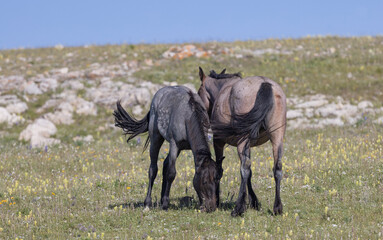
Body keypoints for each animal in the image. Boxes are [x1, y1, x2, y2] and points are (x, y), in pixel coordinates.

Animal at [200, 67, 286, 218]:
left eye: (199, 91)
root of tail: (265, 84)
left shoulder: (218, 142)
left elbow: (219, 169)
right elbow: (250, 172)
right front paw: (253, 201)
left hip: (242, 140)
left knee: (244, 168)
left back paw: (238, 208)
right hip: (277, 137)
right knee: (277, 167)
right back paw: (277, 207)